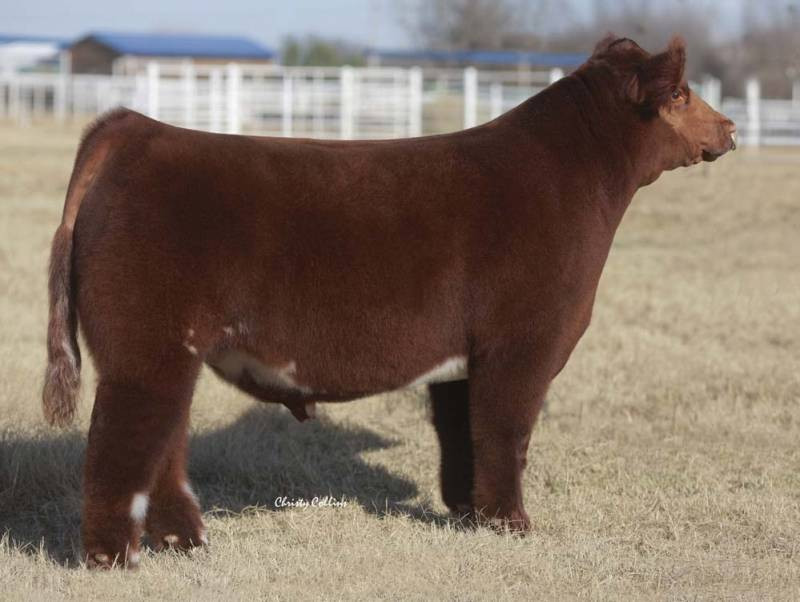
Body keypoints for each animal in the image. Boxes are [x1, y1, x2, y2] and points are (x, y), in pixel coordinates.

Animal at [42, 35, 736, 568]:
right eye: (679, 93)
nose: (729, 127)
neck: (573, 179)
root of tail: (136, 129)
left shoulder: (463, 361)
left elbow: (464, 437)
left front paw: (470, 514)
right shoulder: (522, 344)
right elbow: (507, 431)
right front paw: (513, 523)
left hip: (170, 355)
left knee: (163, 442)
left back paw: (183, 541)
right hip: (144, 348)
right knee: (120, 443)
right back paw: (115, 558)